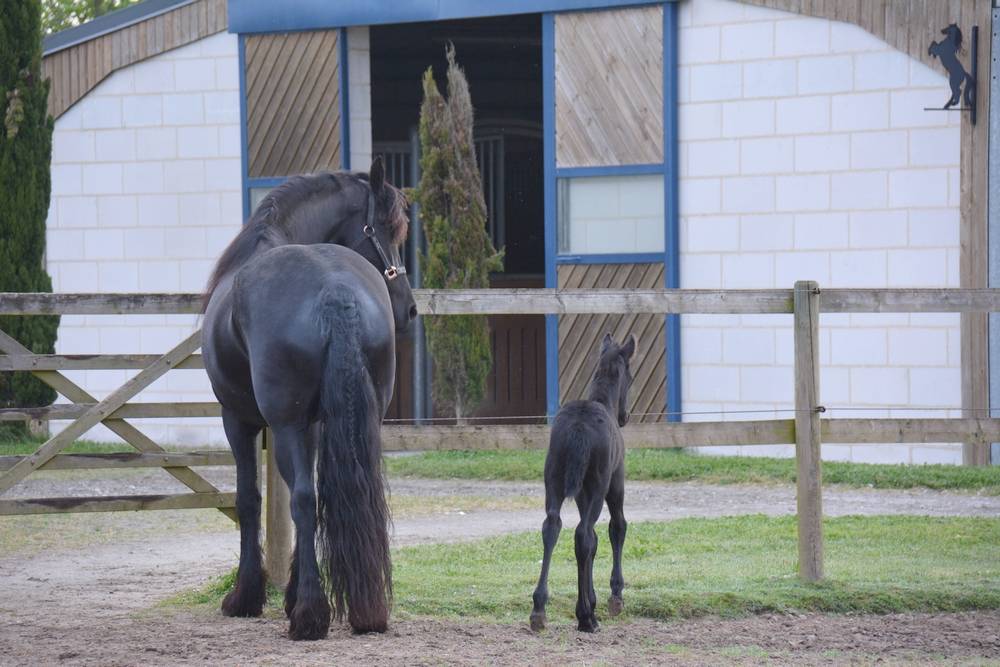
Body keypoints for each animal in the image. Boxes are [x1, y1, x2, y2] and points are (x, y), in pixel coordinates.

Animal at [201, 158, 417, 640]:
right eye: (384, 229)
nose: (409, 309)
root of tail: (336, 291)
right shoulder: (316, 424)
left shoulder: (237, 419)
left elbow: (249, 499)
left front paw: (247, 596)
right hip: (358, 422)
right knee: (342, 495)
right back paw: (363, 611)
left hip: (282, 425)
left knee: (300, 498)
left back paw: (310, 614)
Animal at [530, 332, 637, 633]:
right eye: (631, 376)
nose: (624, 417)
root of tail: (579, 427)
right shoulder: (615, 484)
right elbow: (616, 528)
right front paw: (613, 597)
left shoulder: (580, 494)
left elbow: (594, 541)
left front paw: (593, 599)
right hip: (600, 485)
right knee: (584, 534)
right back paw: (586, 617)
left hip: (554, 481)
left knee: (553, 526)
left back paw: (539, 609)